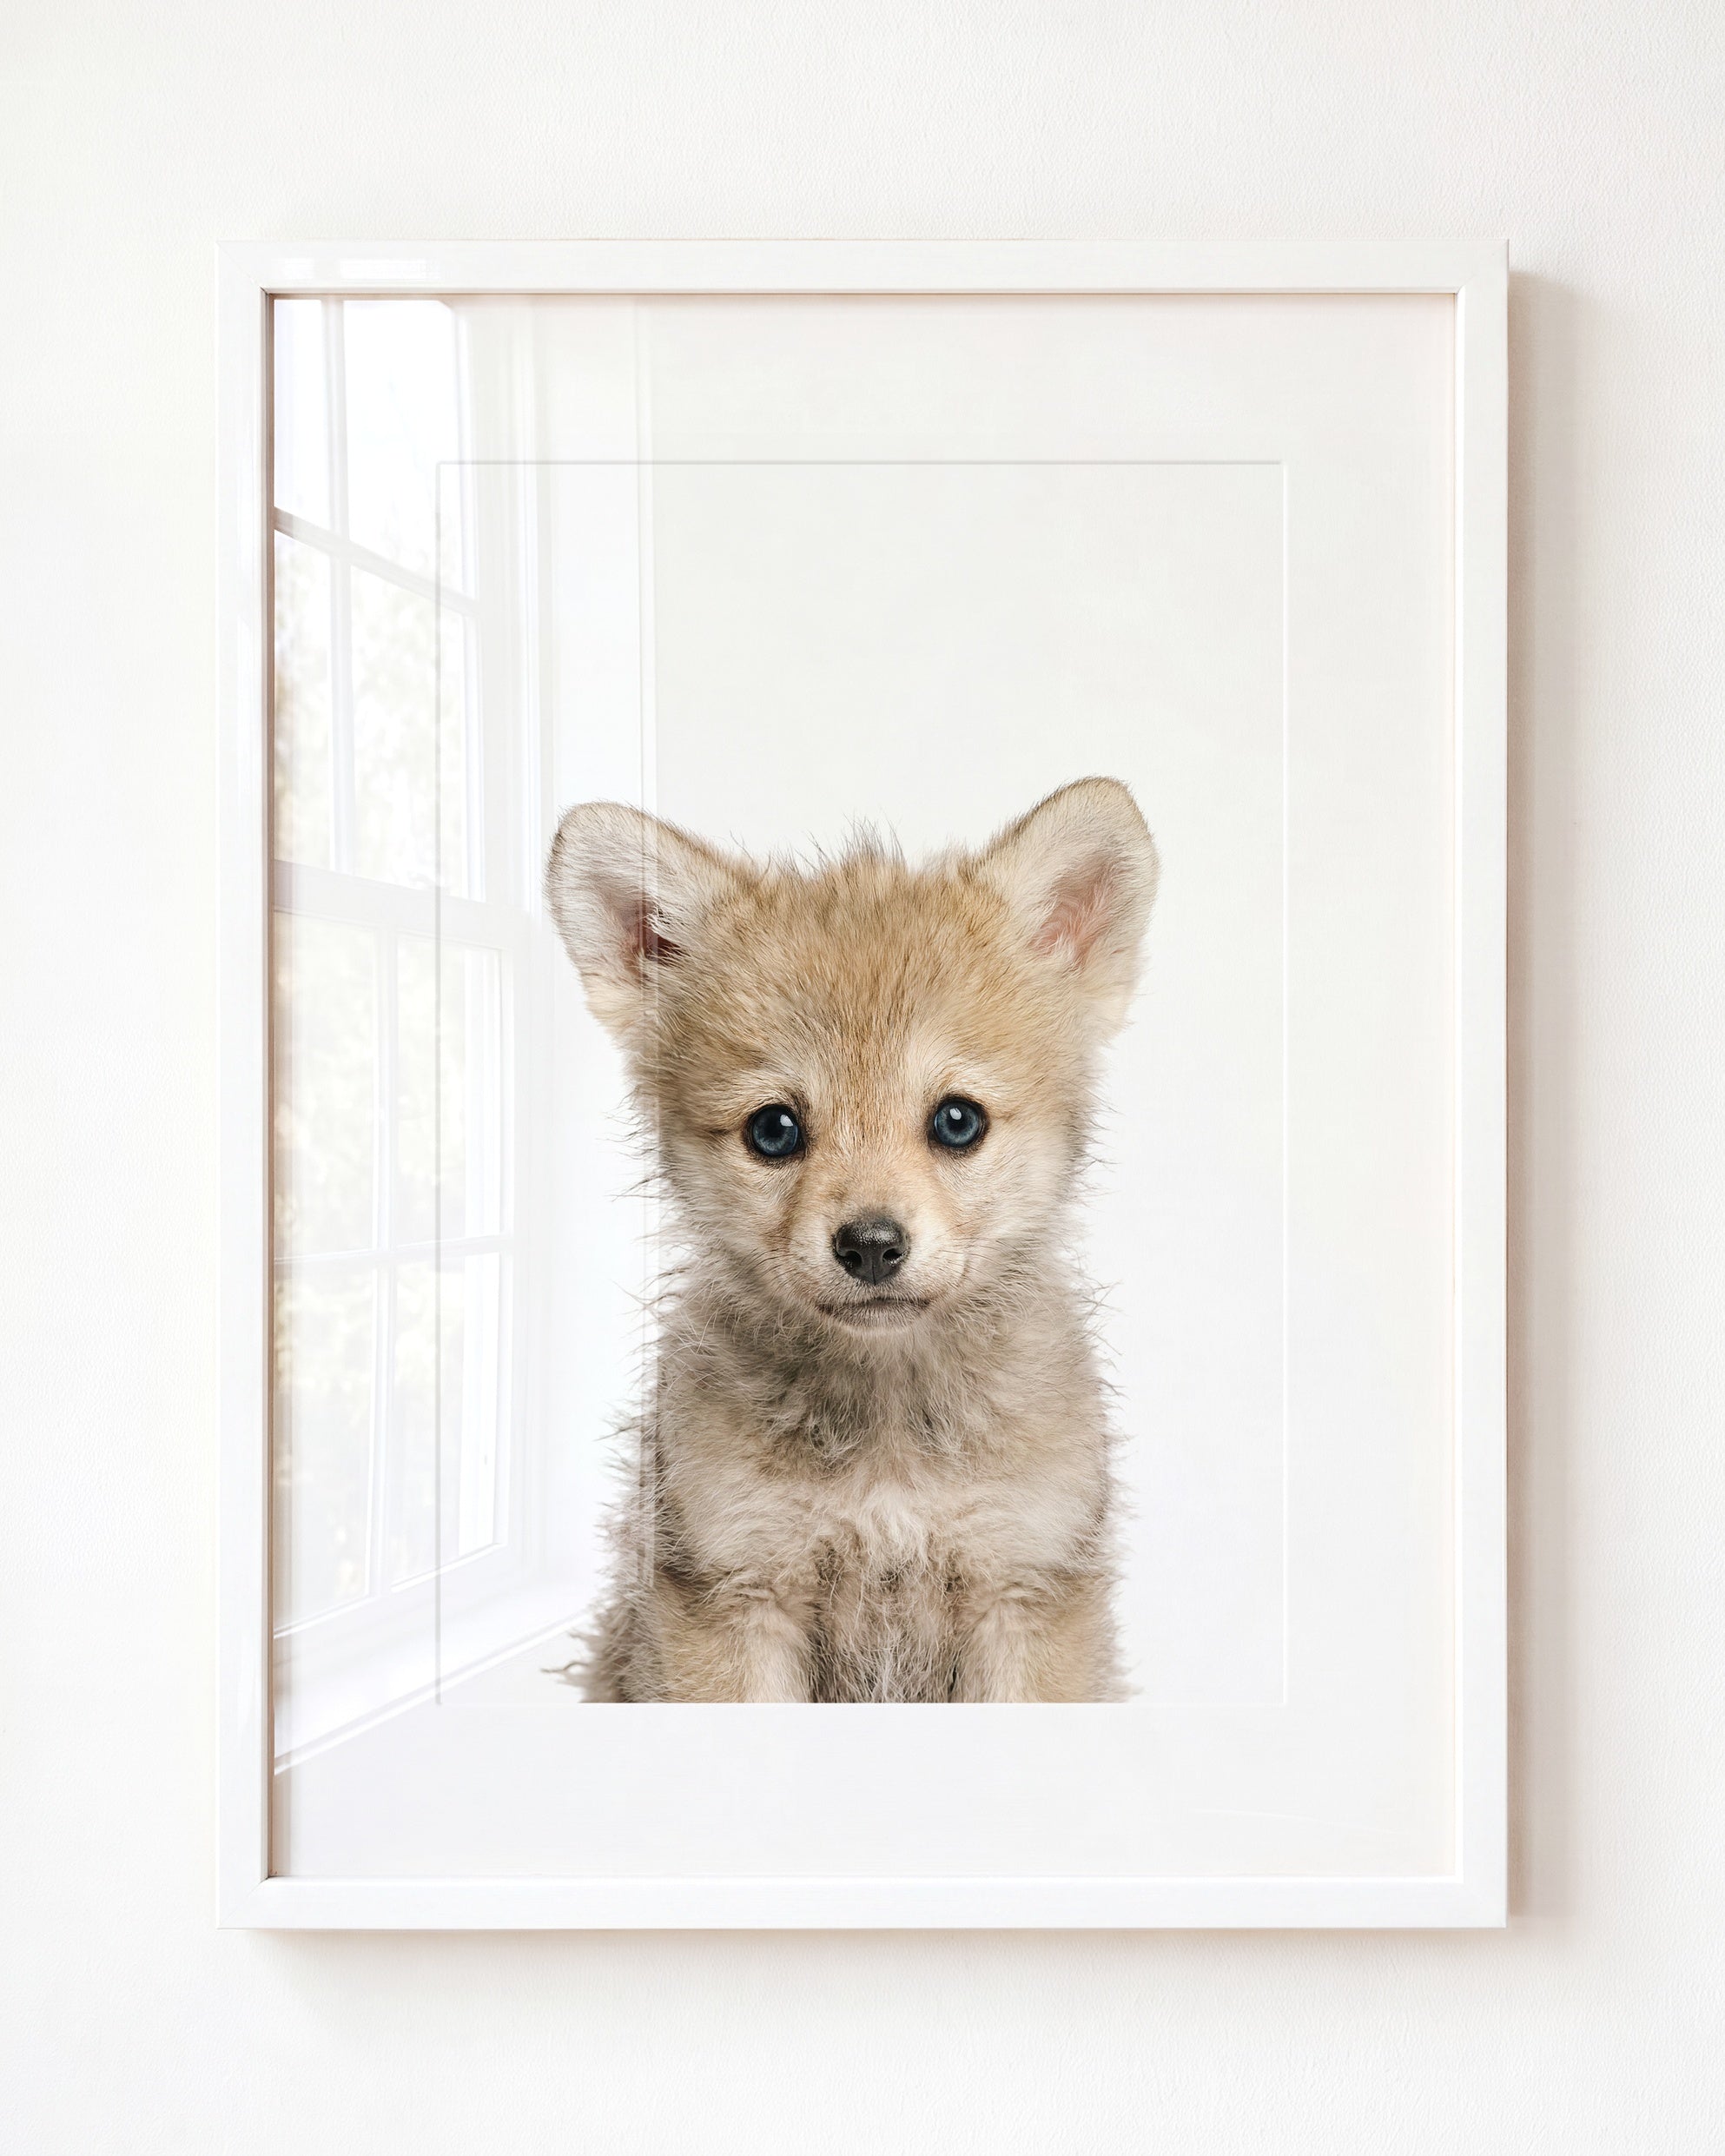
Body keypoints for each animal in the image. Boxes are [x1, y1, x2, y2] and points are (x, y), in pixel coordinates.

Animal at [544, 777, 1159, 1701]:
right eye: (773, 1131)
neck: (888, 1442)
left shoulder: (1023, 1589)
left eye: (957, 1121)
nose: (871, 1245)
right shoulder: (736, 1593)